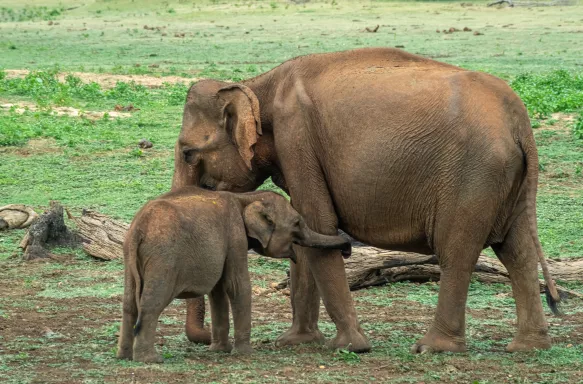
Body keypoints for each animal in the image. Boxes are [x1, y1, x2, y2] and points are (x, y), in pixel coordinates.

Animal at [116, 186, 350, 364]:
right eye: (297, 223)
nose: (347, 249)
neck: (245, 198)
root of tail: (139, 228)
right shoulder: (235, 236)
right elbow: (237, 286)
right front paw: (246, 353)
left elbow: (218, 291)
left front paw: (220, 350)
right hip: (163, 257)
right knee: (151, 304)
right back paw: (150, 359)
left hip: (130, 256)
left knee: (129, 304)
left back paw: (124, 356)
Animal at [173, 46, 560, 352]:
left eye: (189, 153)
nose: (204, 338)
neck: (257, 84)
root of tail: (520, 121)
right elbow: (305, 233)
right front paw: (296, 342)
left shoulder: (296, 137)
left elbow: (318, 222)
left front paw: (351, 346)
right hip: (509, 179)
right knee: (518, 251)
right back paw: (528, 347)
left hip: (474, 174)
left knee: (457, 252)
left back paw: (432, 348)